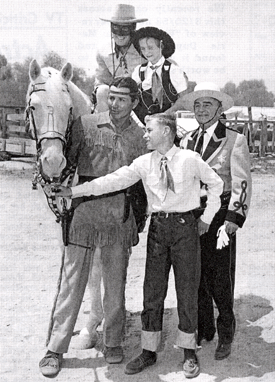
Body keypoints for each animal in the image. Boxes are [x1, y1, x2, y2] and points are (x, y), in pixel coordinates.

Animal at [27, 59, 103, 350]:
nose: (52, 161)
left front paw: (91, 328)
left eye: (68, 108)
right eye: (33, 106)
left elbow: (94, 271)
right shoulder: (65, 221)